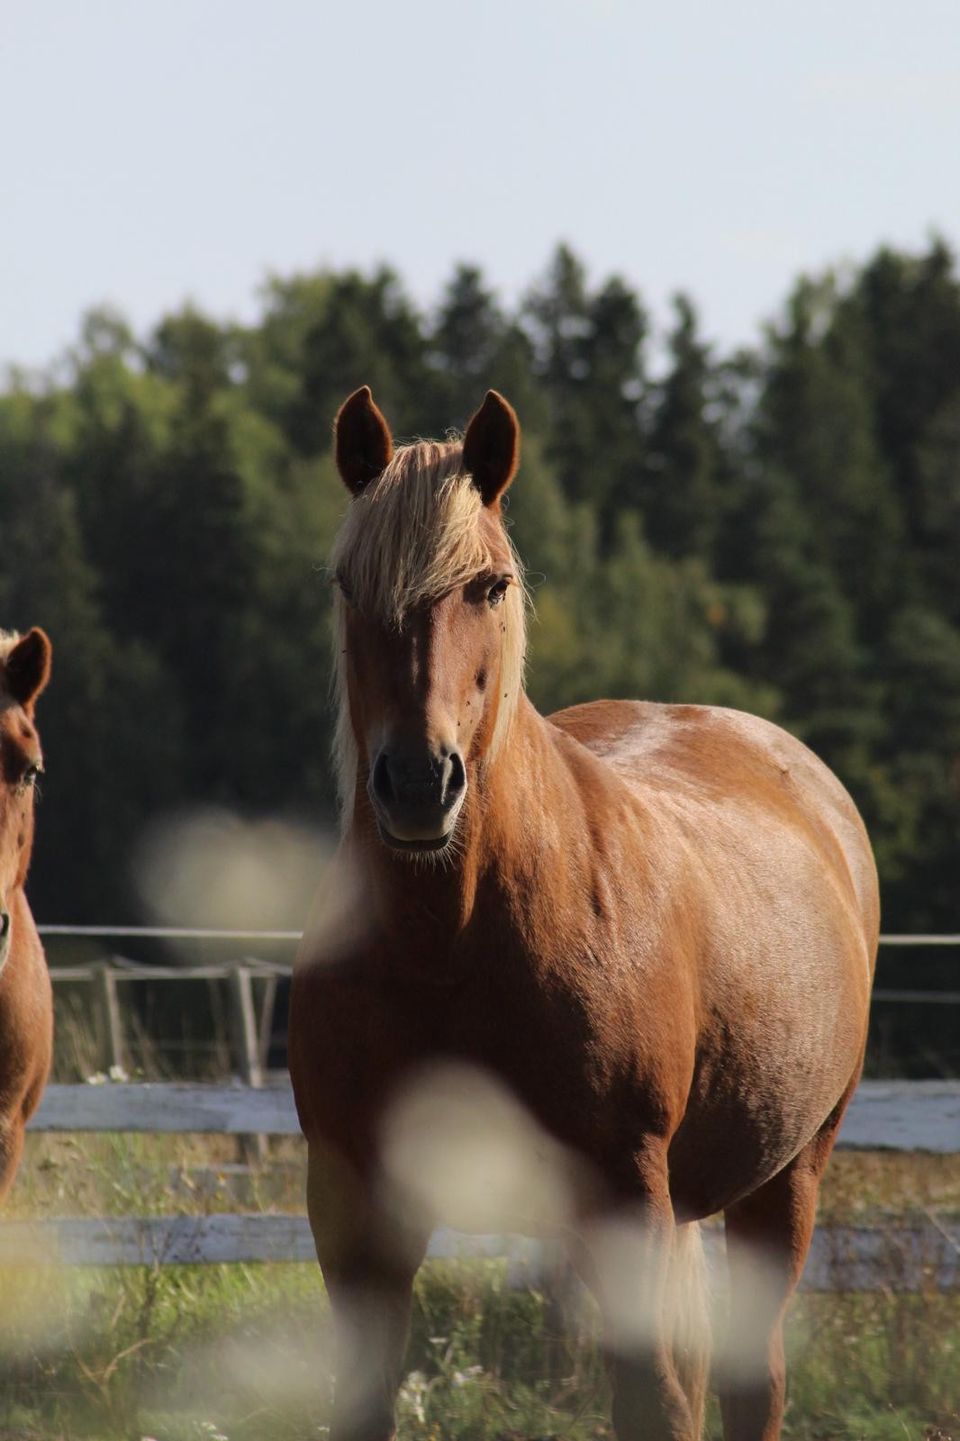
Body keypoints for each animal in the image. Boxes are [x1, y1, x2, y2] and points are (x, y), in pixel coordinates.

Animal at [288, 389, 876, 1435]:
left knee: (748, 1378)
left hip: (788, 1178)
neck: (450, 946)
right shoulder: (354, 1202)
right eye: (348, 584)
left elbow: (656, 1398)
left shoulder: (625, 1190)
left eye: (489, 584)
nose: (417, 783)